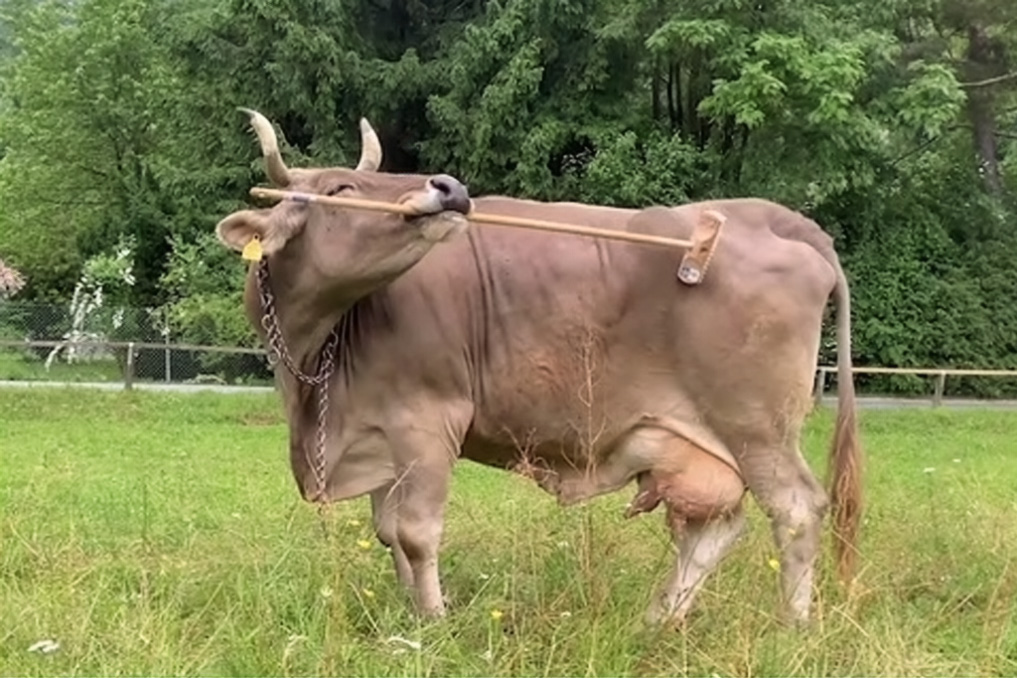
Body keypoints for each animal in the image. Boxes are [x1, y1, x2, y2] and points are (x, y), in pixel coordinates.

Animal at [214, 108, 863, 628]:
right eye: (343, 185)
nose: (449, 186)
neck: (314, 364)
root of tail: (777, 218)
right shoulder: (378, 434)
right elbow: (387, 531)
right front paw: (407, 612)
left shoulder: (428, 421)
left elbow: (416, 534)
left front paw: (433, 623)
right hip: (699, 442)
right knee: (717, 526)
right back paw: (658, 619)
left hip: (757, 427)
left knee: (797, 511)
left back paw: (793, 627)